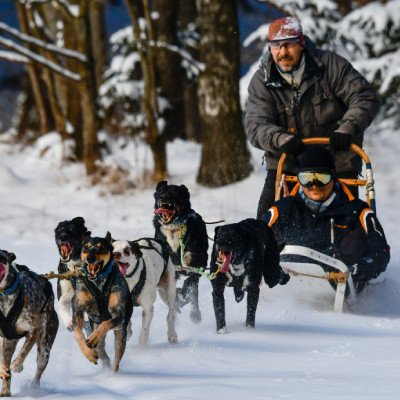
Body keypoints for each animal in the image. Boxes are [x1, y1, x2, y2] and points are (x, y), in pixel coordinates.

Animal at [0, 248, 58, 396]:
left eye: (1, 257)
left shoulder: (34, 329)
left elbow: (23, 352)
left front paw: (17, 366)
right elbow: (3, 363)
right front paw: (4, 371)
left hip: (45, 348)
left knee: (39, 369)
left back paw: (34, 387)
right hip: (9, 342)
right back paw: (5, 389)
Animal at [153, 181, 209, 324]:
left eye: (174, 193)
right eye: (161, 193)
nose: (163, 197)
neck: (173, 231)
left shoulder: (195, 267)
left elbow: (188, 287)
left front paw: (182, 297)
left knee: (193, 291)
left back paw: (194, 312)